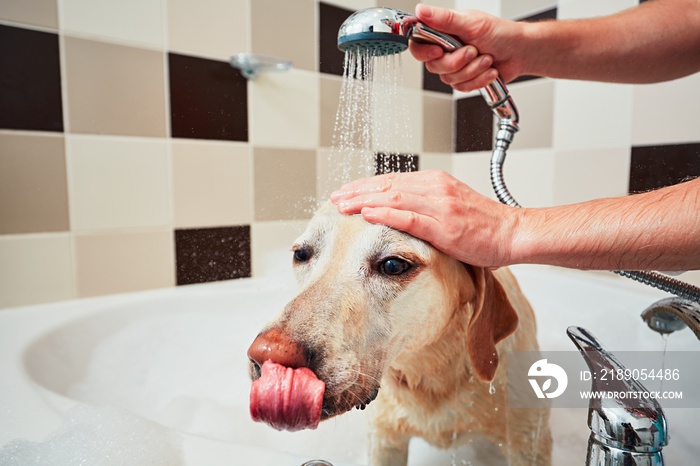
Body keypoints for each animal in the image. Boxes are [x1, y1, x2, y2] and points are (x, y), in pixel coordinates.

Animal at [249, 202, 548, 464]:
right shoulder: (384, 441)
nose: (270, 353)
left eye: (393, 265)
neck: (436, 372)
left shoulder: (528, 441)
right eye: (301, 254)